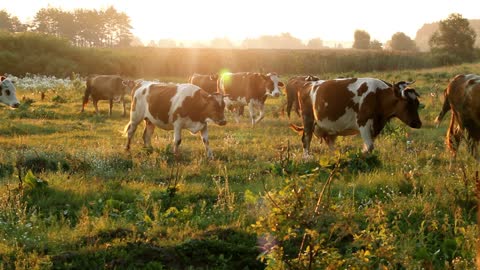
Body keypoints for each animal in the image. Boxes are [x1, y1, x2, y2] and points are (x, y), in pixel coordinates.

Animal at [288, 77, 420, 158]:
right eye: (407, 104)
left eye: (417, 103)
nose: (418, 123)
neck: (378, 95)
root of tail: (308, 83)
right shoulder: (363, 122)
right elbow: (369, 146)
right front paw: (362, 156)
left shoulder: (376, 126)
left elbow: (369, 145)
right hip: (308, 119)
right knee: (306, 139)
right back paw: (307, 157)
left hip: (329, 128)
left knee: (329, 142)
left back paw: (334, 156)